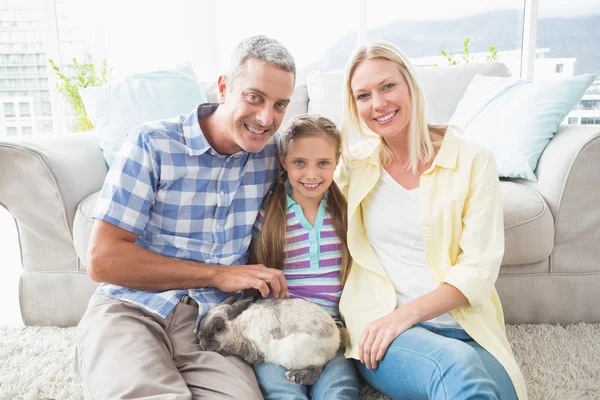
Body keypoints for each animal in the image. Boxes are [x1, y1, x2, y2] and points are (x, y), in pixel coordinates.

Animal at [198, 296, 346, 386]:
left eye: (218, 327)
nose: (201, 342)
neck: (238, 326)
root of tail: (335, 341)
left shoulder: (254, 348)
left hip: (293, 351)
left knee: (318, 368)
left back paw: (295, 376)